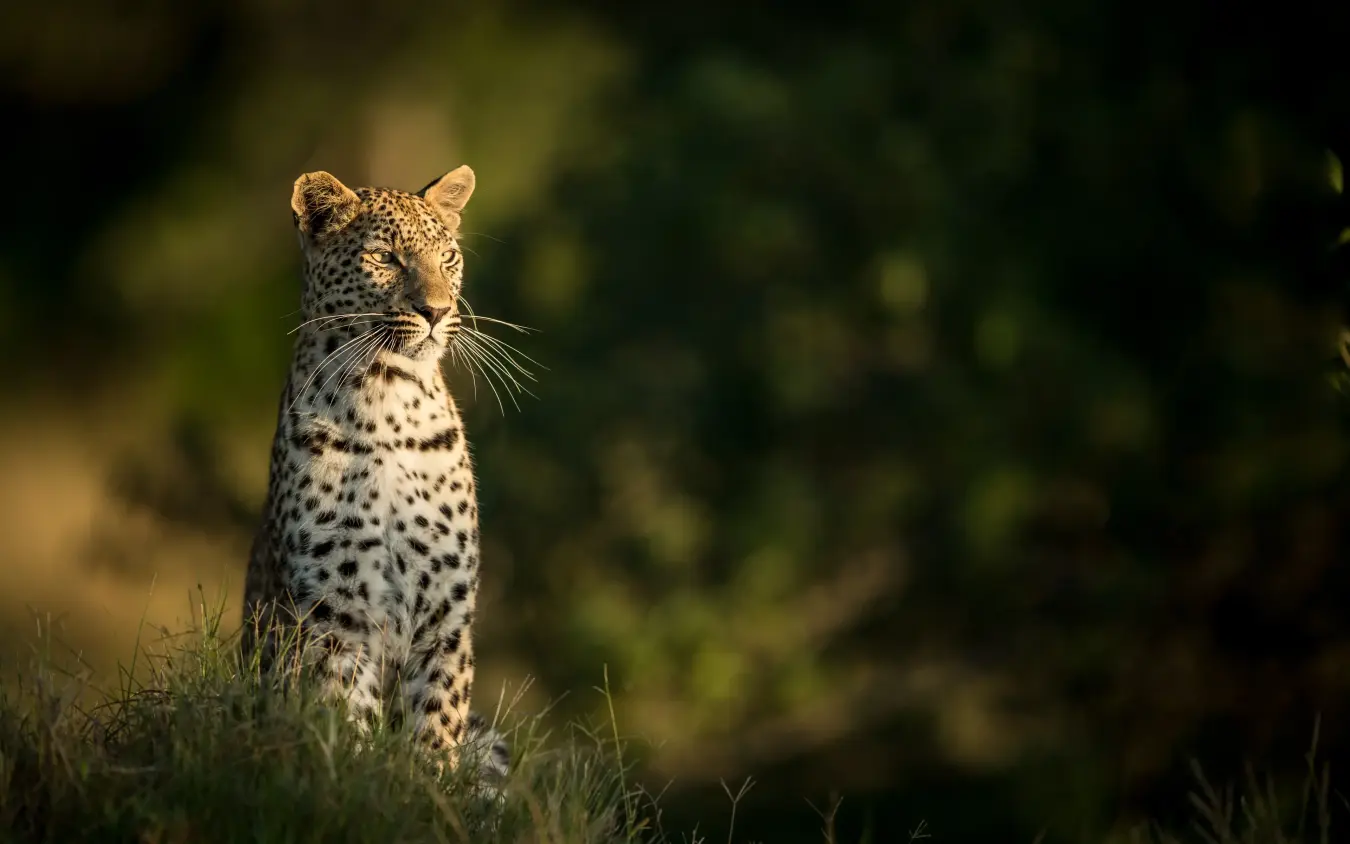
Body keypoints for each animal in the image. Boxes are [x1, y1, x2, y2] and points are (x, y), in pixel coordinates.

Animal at [241, 165, 509, 789]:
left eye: (448, 257)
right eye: (386, 257)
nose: (437, 311)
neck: (389, 401)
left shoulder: (445, 618)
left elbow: (437, 719)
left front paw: (429, 792)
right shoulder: (336, 615)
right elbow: (344, 715)